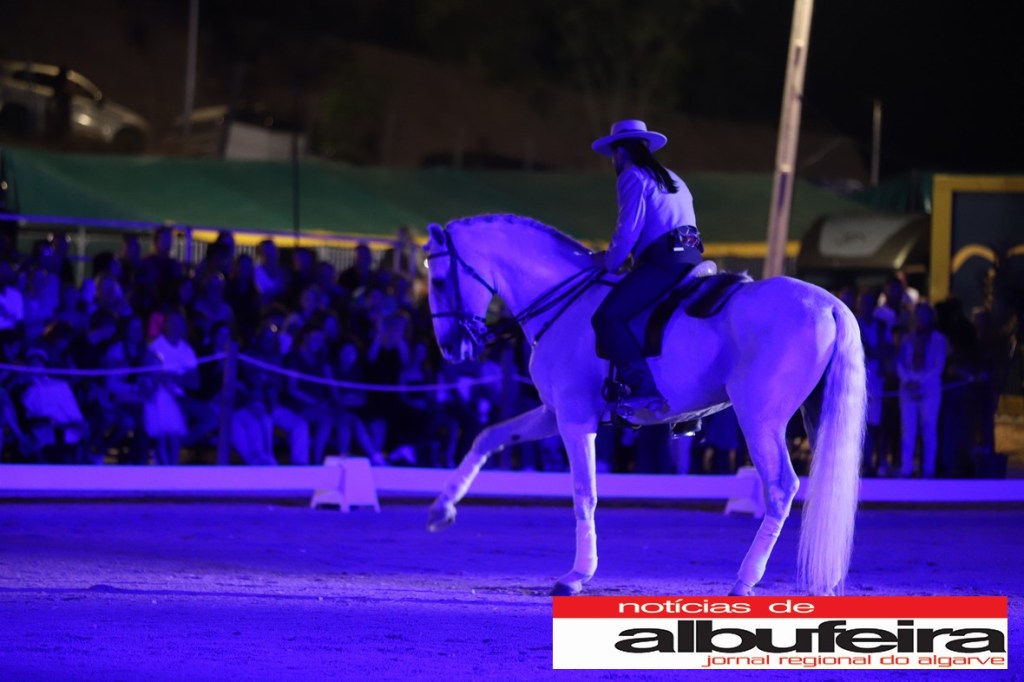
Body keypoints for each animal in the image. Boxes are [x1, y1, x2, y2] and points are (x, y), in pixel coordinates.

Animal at [422, 214, 866, 597]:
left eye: (440, 280)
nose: (452, 349)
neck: (567, 303)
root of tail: (828, 304)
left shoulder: (575, 418)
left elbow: (584, 493)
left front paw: (577, 575)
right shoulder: (553, 413)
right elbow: (487, 437)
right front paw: (442, 508)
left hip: (760, 420)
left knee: (781, 488)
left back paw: (746, 580)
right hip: (816, 417)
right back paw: (823, 585)